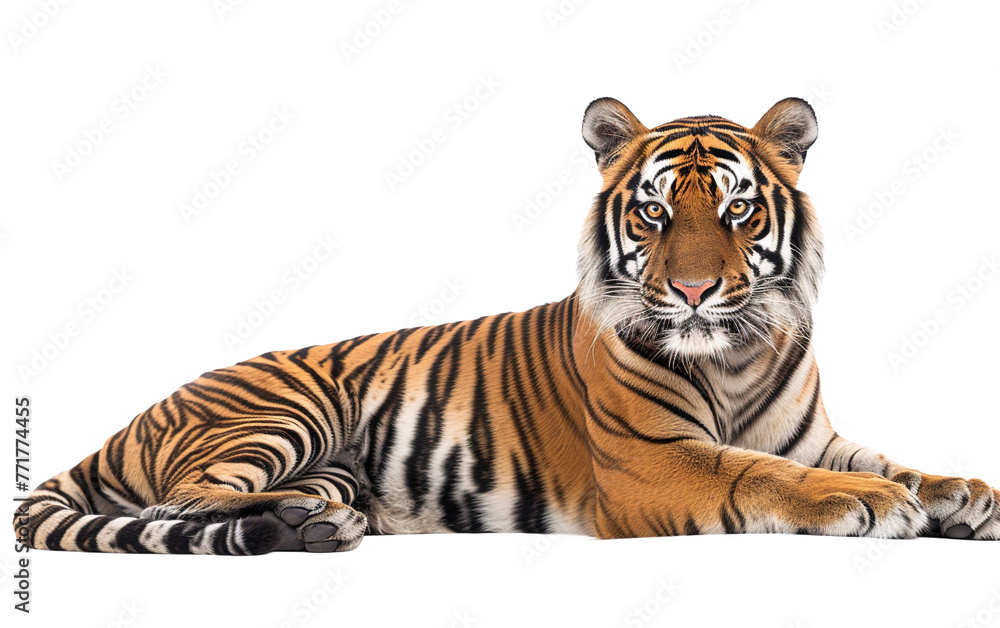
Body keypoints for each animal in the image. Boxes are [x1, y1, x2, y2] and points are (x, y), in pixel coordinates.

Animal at [14, 97, 1000, 555]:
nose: (690, 291)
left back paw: (321, 518)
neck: (734, 359)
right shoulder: (652, 462)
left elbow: (894, 460)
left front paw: (960, 494)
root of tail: (133, 419)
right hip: (283, 410)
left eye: (736, 211)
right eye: (653, 213)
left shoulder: (815, 434)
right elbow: (759, 472)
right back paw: (312, 523)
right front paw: (870, 505)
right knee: (181, 500)